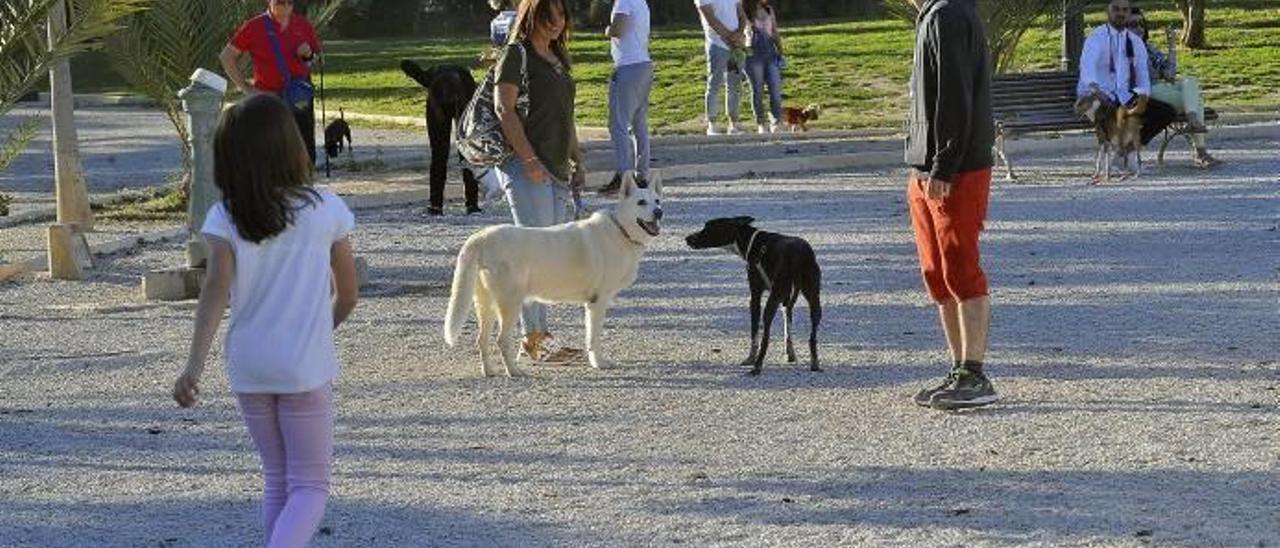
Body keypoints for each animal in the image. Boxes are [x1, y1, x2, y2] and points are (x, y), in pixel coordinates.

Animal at [442, 172, 665, 376]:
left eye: (657, 201)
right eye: (641, 202)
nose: (659, 212)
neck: (621, 231)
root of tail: (481, 236)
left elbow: (589, 336)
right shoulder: (597, 302)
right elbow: (594, 337)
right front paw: (598, 363)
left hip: (486, 305)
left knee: (481, 340)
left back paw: (489, 371)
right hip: (510, 304)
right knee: (501, 340)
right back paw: (514, 372)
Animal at [686, 216, 824, 373]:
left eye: (708, 227)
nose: (687, 238)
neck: (752, 242)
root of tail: (798, 254)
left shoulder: (755, 295)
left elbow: (754, 331)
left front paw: (751, 358)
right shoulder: (786, 300)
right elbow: (787, 327)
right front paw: (790, 354)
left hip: (772, 300)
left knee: (766, 336)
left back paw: (757, 365)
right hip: (813, 299)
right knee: (812, 336)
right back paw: (814, 362)